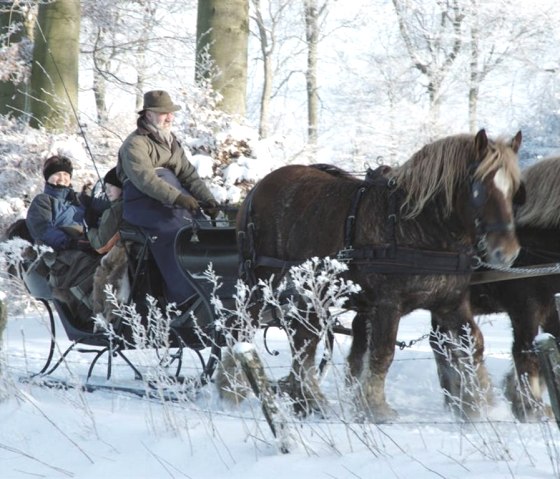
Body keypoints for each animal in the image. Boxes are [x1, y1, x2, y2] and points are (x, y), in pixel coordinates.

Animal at [238, 129, 524, 422]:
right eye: (479, 189)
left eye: (514, 190)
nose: (507, 252)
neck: (417, 226)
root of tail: (258, 188)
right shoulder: (387, 304)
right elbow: (382, 353)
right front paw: (376, 407)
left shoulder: (450, 303)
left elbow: (474, 344)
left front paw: (484, 405)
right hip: (258, 287)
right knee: (243, 330)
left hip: (307, 297)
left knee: (303, 342)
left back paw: (308, 401)